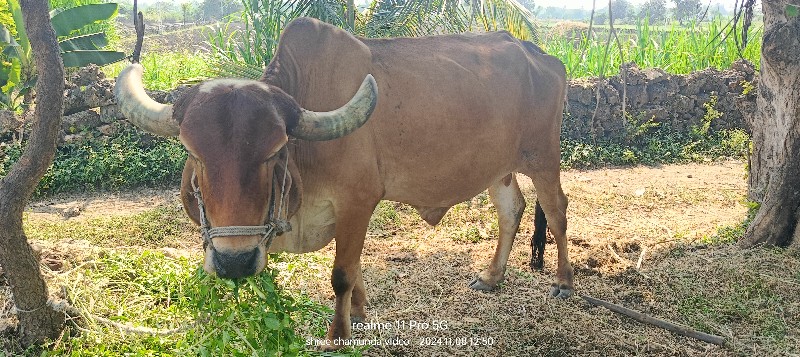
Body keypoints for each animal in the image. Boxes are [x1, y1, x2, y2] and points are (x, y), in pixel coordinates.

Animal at [115, 16, 572, 344]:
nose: (234, 262)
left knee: (556, 210)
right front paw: (360, 313)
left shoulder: (357, 201)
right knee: (511, 210)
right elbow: (355, 268)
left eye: (275, 152)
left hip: (543, 158)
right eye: (194, 153)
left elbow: (341, 274)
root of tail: (545, 57)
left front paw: (338, 335)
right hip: (500, 167)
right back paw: (492, 277)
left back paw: (564, 282)